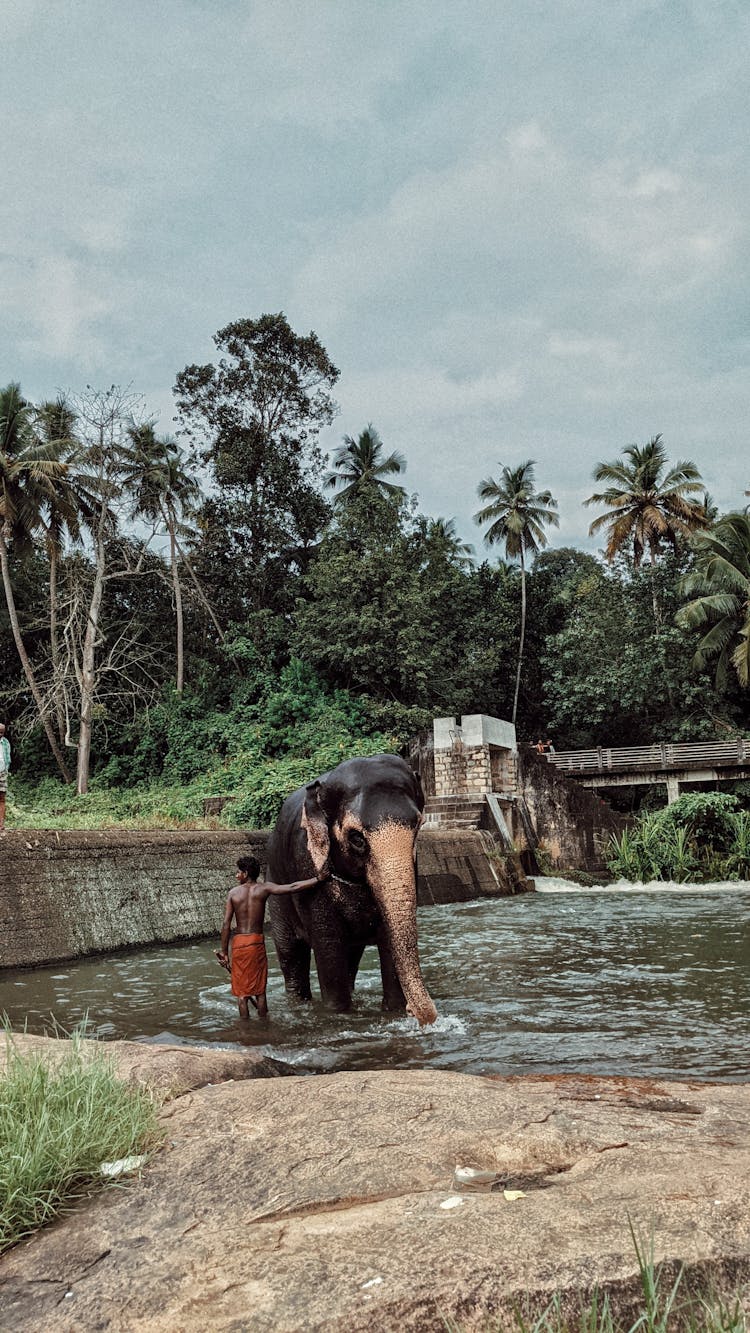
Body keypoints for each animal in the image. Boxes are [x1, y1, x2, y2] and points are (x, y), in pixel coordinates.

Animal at [265, 757, 436, 1023]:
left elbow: (388, 938)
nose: (416, 1012)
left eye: (418, 826)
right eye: (356, 838)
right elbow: (328, 944)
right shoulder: (306, 863)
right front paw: (337, 1013)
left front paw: (395, 1010)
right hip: (275, 888)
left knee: (351, 958)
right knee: (291, 955)